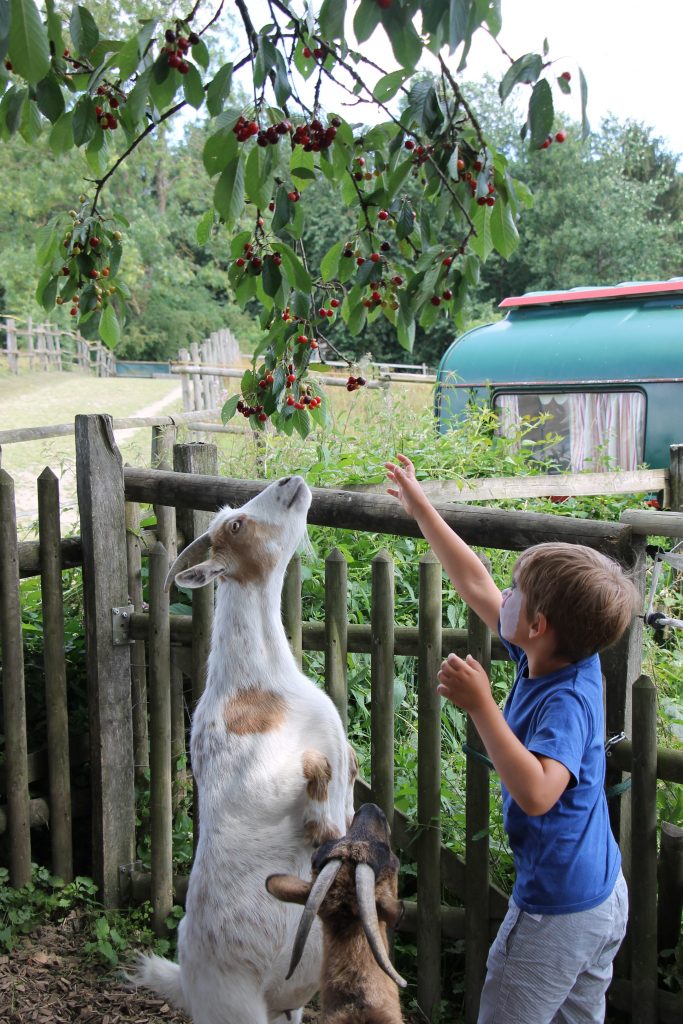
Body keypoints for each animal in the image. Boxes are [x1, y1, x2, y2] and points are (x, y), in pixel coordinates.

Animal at [132, 479, 360, 1024]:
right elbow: (315, 783)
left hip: (287, 1007)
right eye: (236, 524)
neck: (261, 686)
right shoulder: (256, 776)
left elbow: (348, 777)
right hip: (236, 1007)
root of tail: (188, 983)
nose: (289, 482)